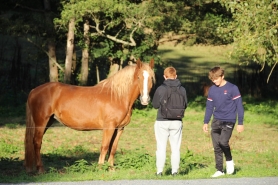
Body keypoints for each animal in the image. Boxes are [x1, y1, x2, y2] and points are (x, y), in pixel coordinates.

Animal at [24, 58, 155, 173]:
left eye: (151, 78)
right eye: (138, 77)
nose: (145, 100)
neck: (117, 96)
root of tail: (34, 90)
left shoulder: (119, 128)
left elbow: (113, 148)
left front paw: (111, 168)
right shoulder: (109, 127)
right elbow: (105, 146)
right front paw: (101, 168)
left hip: (48, 122)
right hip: (41, 122)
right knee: (37, 142)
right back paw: (40, 169)